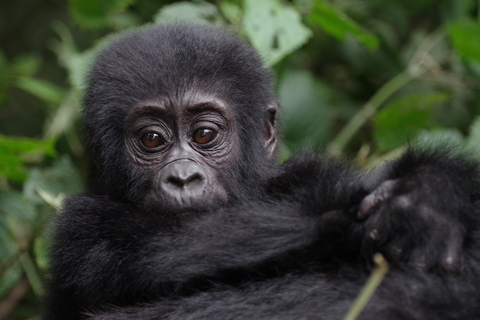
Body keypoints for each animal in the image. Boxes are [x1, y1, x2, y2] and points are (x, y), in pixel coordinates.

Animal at [43, 23, 480, 318]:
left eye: (204, 134)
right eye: (152, 139)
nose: (182, 178)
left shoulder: (301, 172)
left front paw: (429, 192)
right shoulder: (79, 227)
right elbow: (166, 252)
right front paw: (353, 220)